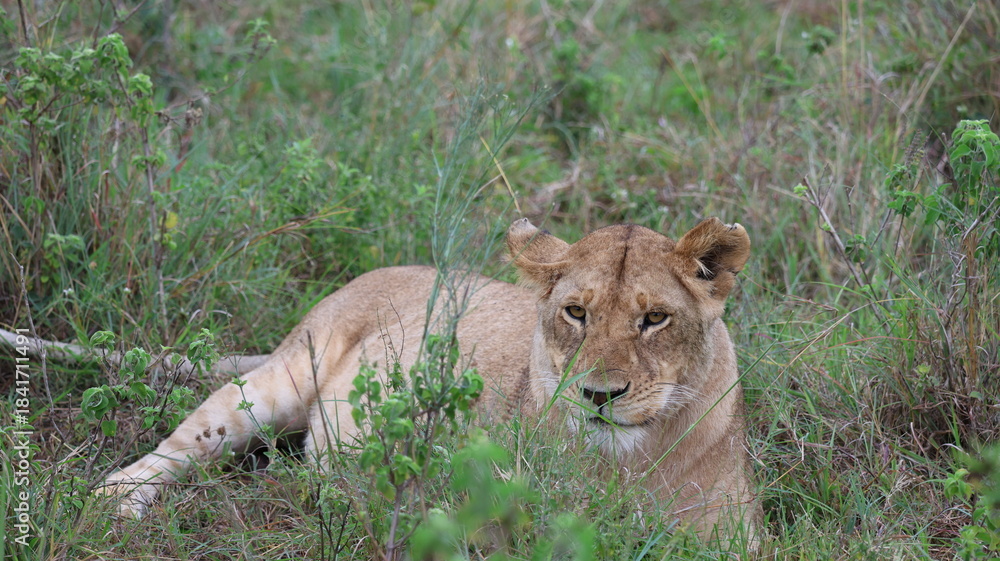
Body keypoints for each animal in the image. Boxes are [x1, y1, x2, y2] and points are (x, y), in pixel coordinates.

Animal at [101, 217, 760, 543]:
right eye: (577, 313)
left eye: (655, 319)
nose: (599, 396)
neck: (626, 462)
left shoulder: (729, 538)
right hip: (274, 385)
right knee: (179, 446)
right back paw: (116, 506)